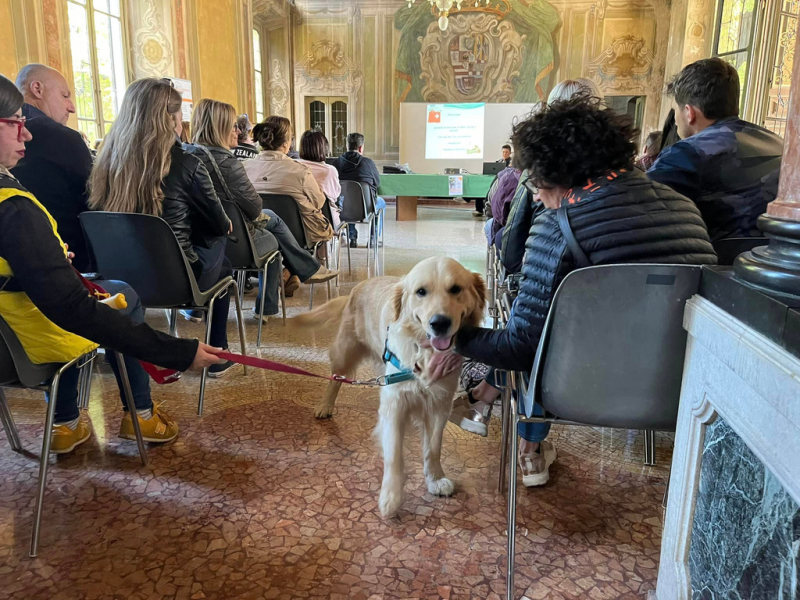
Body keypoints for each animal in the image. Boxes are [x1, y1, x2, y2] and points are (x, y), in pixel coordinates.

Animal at [290, 256, 484, 516]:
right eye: (421, 292)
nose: (439, 323)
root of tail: (359, 285)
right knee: (336, 377)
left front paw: (435, 480)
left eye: (455, 289)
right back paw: (325, 405)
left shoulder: (439, 403)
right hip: (345, 350)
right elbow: (394, 454)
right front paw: (391, 496)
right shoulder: (395, 403)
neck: (422, 352)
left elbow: (433, 448)